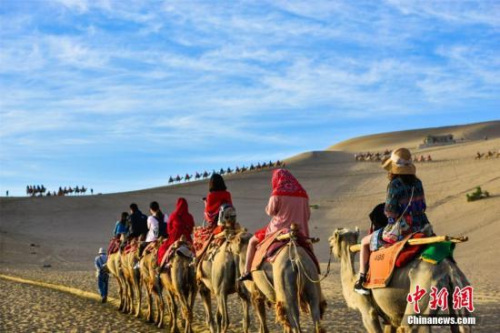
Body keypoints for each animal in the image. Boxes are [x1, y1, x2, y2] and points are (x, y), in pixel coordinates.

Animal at [328, 227, 472, 330]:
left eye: (333, 238)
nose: (328, 241)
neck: (352, 280)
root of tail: (449, 269)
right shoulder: (390, 318)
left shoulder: (367, 310)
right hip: (460, 294)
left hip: (424, 290)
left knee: (410, 325)